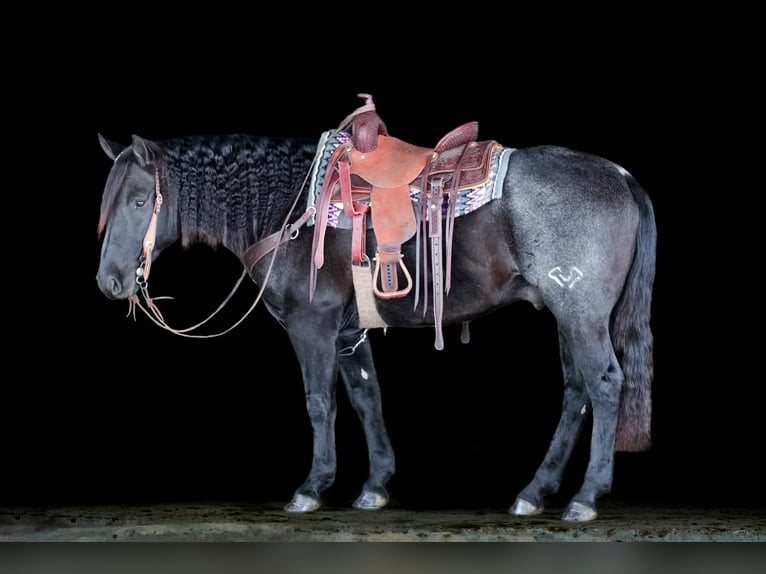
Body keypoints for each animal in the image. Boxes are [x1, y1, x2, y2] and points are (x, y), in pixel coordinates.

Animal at [95, 96, 656, 522]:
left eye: (140, 201)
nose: (110, 281)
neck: (288, 205)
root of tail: (621, 175)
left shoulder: (313, 325)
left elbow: (320, 402)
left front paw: (311, 488)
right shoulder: (348, 332)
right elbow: (367, 397)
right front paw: (376, 485)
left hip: (581, 315)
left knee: (605, 384)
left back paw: (585, 498)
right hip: (568, 316)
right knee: (577, 392)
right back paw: (534, 493)